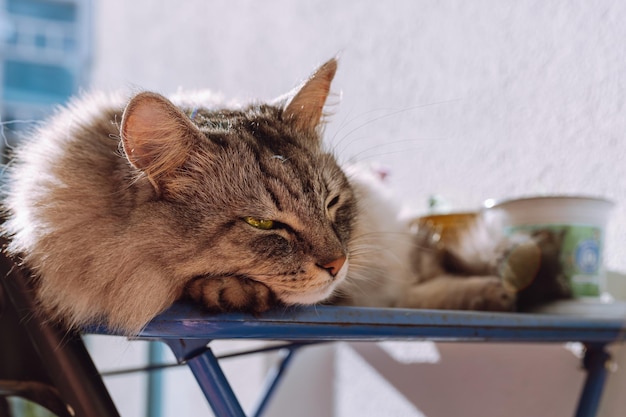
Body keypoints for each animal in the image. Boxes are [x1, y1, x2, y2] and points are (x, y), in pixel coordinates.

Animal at [0, 58, 556, 334]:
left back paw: (513, 268)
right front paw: (228, 290)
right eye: (264, 224)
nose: (337, 263)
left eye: (332, 205)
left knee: (437, 269)